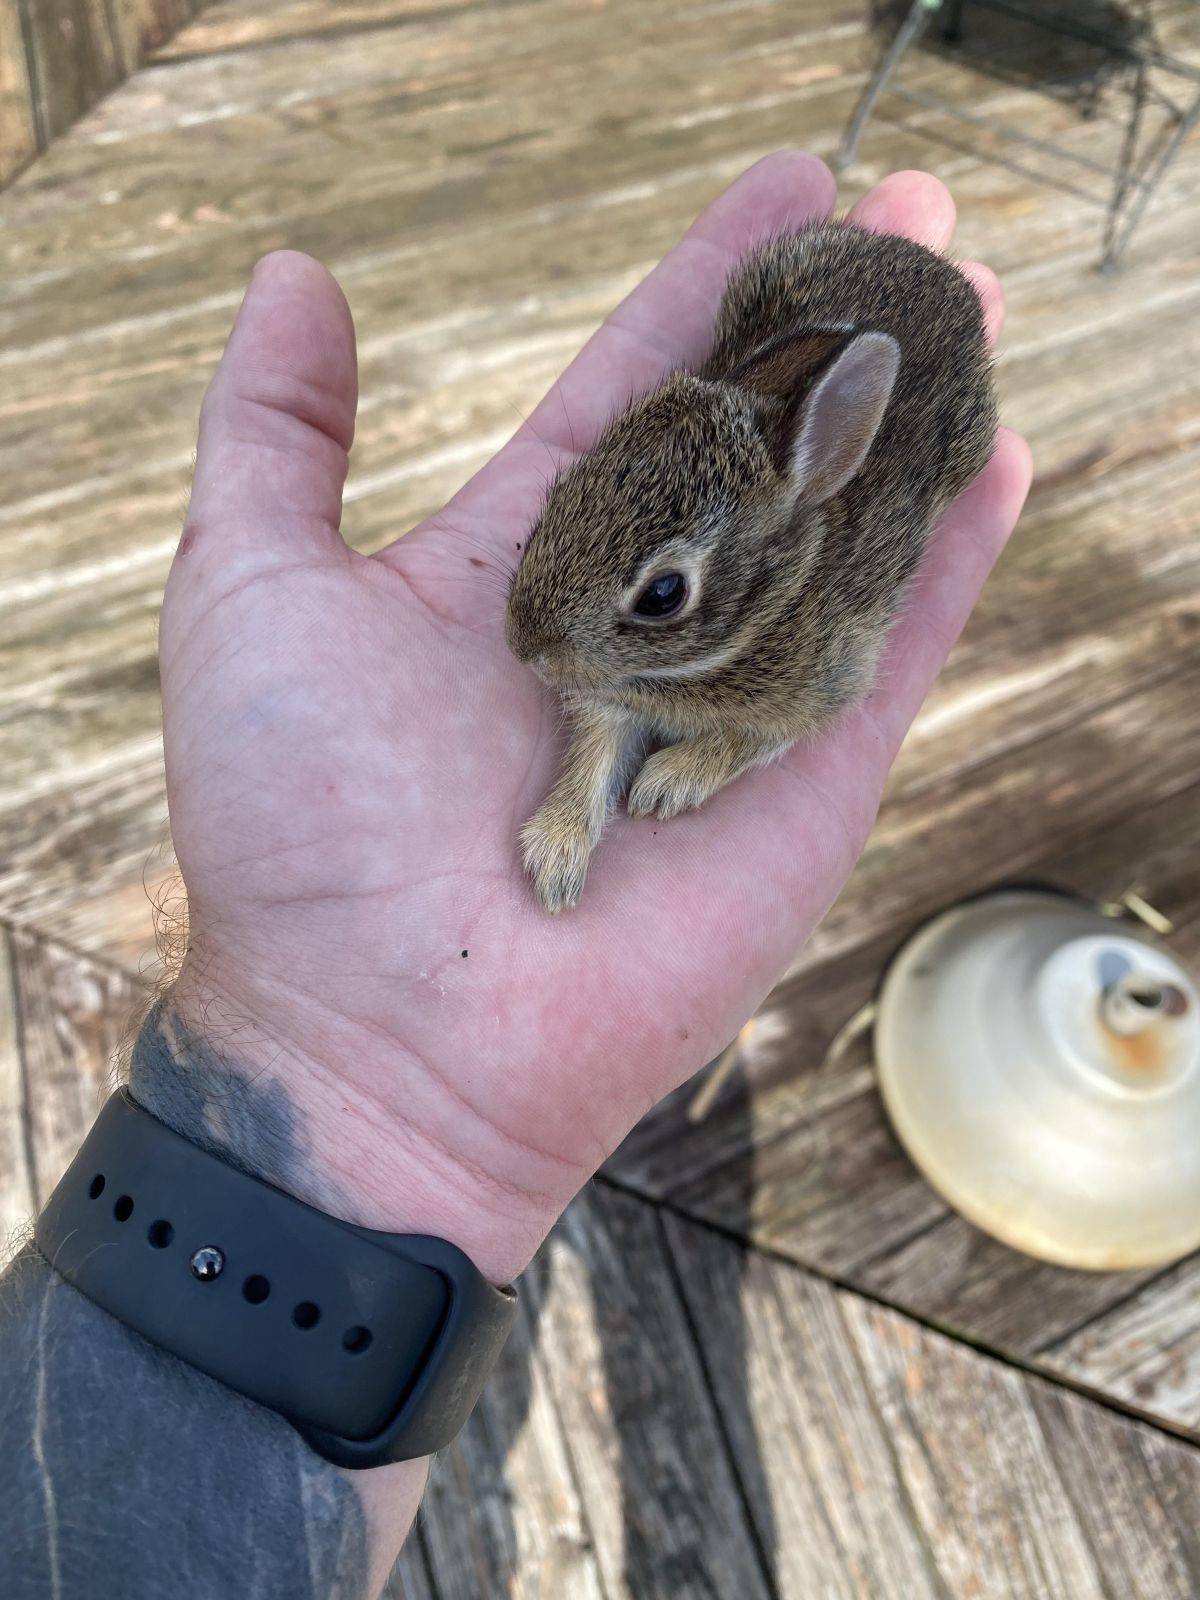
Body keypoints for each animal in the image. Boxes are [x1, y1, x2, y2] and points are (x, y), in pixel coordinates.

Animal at [505, 220, 998, 915]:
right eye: (565, 489)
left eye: (663, 594)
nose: (525, 648)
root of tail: (936, 267)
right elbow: (594, 756)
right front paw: (557, 856)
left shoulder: (822, 685)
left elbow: (749, 740)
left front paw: (666, 783)